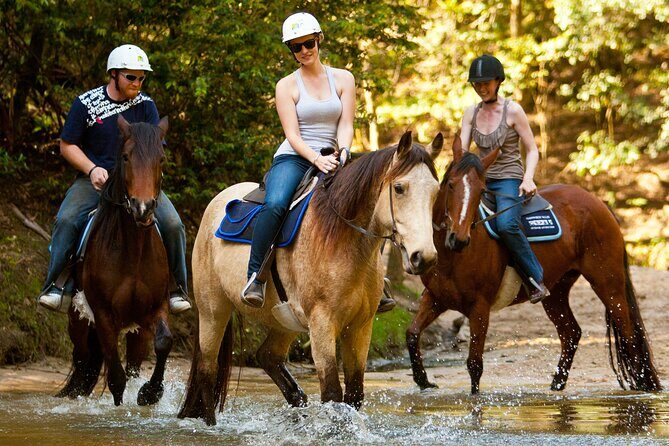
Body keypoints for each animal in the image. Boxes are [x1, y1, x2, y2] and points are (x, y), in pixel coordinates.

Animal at [56, 115, 173, 406]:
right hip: (79, 321)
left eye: (162, 158)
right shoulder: (103, 316)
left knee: (130, 365)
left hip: (136, 331)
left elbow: (164, 342)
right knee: (84, 361)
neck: (133, 250)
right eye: (126, 157)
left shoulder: (155, 309)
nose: (142, 208)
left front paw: (150, 393)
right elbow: (116, 380)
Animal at [178, 131, 443, 425]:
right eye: (399, 188)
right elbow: (333, 394)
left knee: (267, 356)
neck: (342, 240)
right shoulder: (322, 323)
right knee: (207, 370)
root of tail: (215, 204)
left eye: (435, 192)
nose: (424, 257)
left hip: (284, 320)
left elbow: (354, 394)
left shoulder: (360, 326)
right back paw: (210, 424)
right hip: (213, 311)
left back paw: (298, 404)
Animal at [406, 135, 662, 395]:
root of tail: (599, 203)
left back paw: (642, 385)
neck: (453, 257)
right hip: (556, 292)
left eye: (481, 191)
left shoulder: (480, 307)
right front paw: (423, 380)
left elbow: (474, 364)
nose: (458, 239)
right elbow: (412, 334)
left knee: (628, 332)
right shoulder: (435, 298)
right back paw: (557, 384)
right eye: (450, 184)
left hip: (608, 283)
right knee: (571, 332)